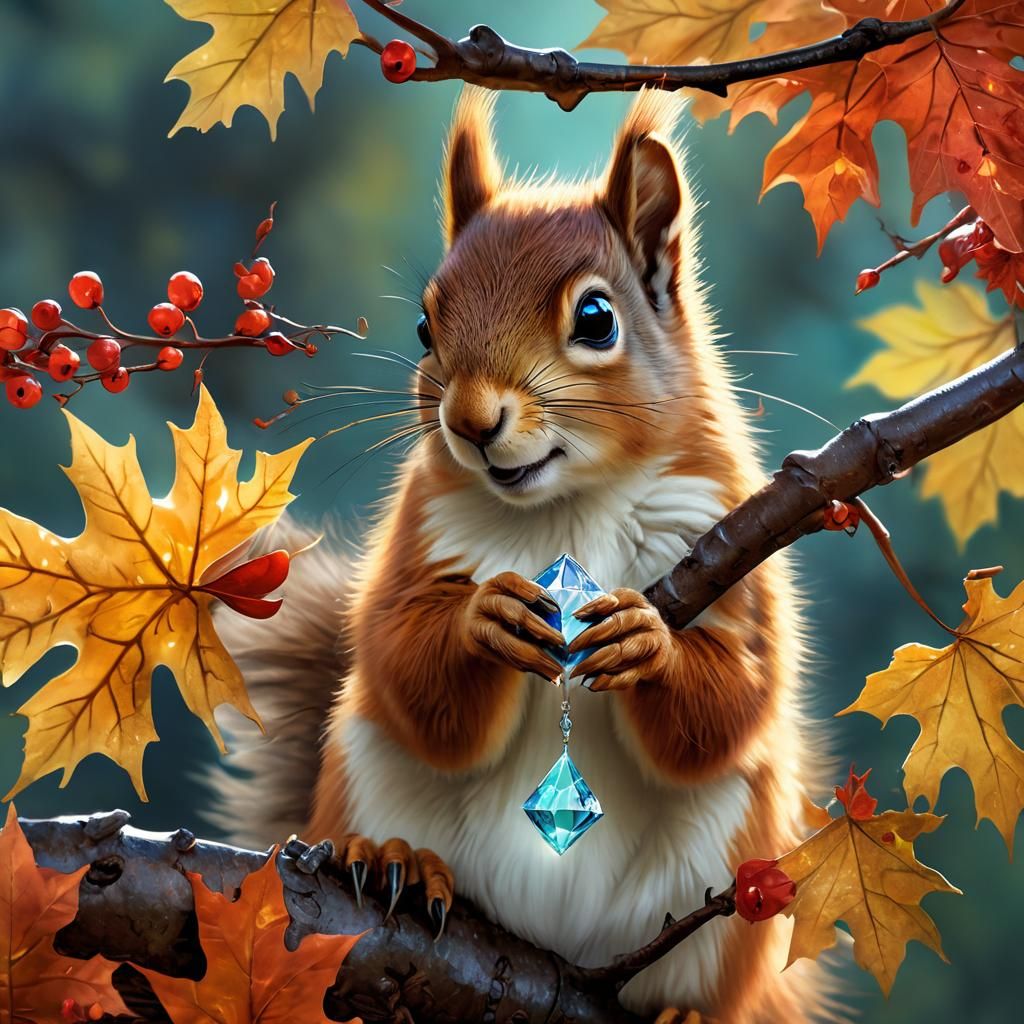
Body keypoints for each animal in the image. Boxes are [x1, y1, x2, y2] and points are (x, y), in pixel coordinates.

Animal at [212, 88, 833, 1023]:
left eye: (597, 319)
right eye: (424, 324)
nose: (471, 421)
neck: (562, 509)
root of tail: (555, 946)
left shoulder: (738, 539)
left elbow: (738, 695)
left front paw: (649, 641)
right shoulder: (418, 536)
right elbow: (402, 661)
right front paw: (486, 617)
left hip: (733, 876)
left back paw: (684, 1009)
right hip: (367, 768)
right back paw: (395, 862)